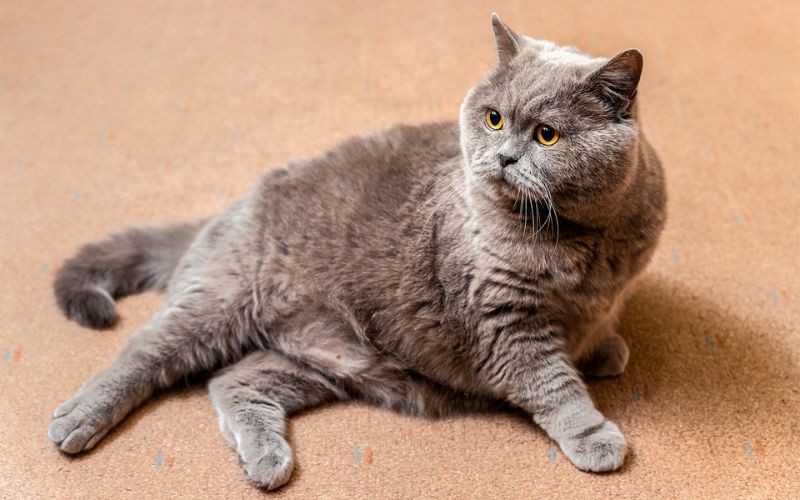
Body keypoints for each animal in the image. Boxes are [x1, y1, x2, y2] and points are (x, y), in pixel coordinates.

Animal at [47, 14, 664, 488]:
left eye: (547, 135)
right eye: (493, 119)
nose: (505, 156)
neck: (583, 242)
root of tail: (232, 206)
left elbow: (592, 334)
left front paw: (604, 349)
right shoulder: (506, 323)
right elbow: (553, 386)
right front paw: (595, 436)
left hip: (322, 359)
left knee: (233, 382)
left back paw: (266, 463)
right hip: (222, 299)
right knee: (144, 350)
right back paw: (76, 420)